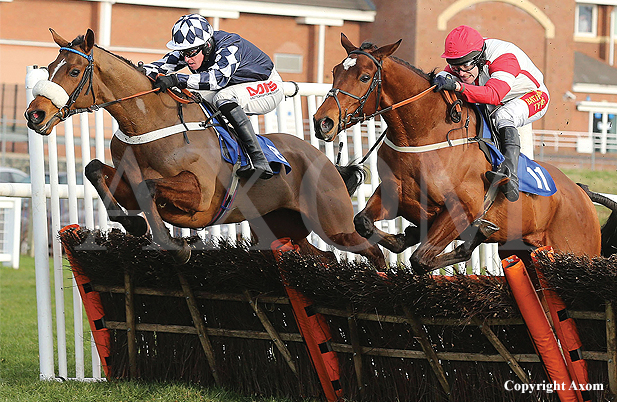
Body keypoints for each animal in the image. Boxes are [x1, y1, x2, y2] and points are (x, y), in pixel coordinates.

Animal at [26, 28, 384, 266]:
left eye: (74, 71)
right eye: (49, 67)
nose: (34, 114)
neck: (149, 123)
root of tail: (325, 161)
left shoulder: (201, 198)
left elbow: (149, 186)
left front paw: (175, 243)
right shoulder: (125, 182)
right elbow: (96, 170)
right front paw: (135, 223)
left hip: (334, 224)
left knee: (371, 250)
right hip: (280, 225)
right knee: (324, 257)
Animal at [312, 34, 608, 274]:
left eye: (364, 77)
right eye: (335, 71)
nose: (322, 122)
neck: (423, 135)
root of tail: (581, 193)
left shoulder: (462, 209)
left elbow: (421, 260)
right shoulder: (395, 194)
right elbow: (362, 221)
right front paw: (405, 236)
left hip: (577, 251)